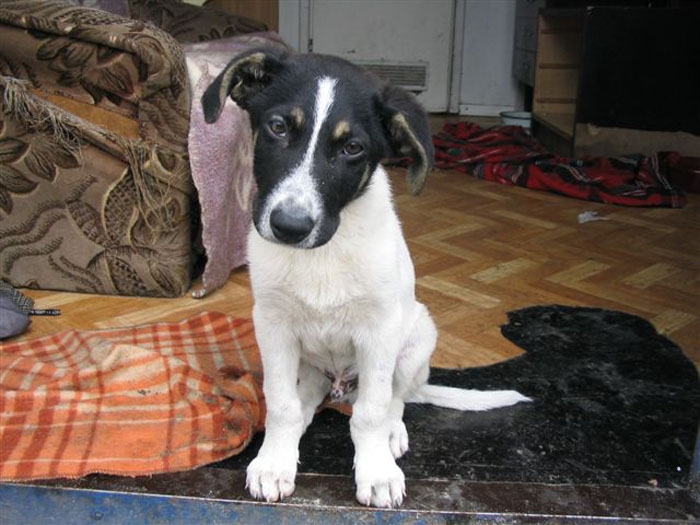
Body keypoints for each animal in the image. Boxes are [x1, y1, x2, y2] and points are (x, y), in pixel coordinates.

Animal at [202, 49, 530, 508]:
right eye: (278, 127)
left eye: (353, 148)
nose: (289, 227)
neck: (323, 252)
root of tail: (343, 385)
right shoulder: (273, 325)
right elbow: (281, 403)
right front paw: (274, 462)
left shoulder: (378, 332)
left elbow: (371, 414)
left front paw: (376, 472)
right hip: (310, 361)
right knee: (308, 399)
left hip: (417, 337)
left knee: (395, 400)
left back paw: (393, 433)